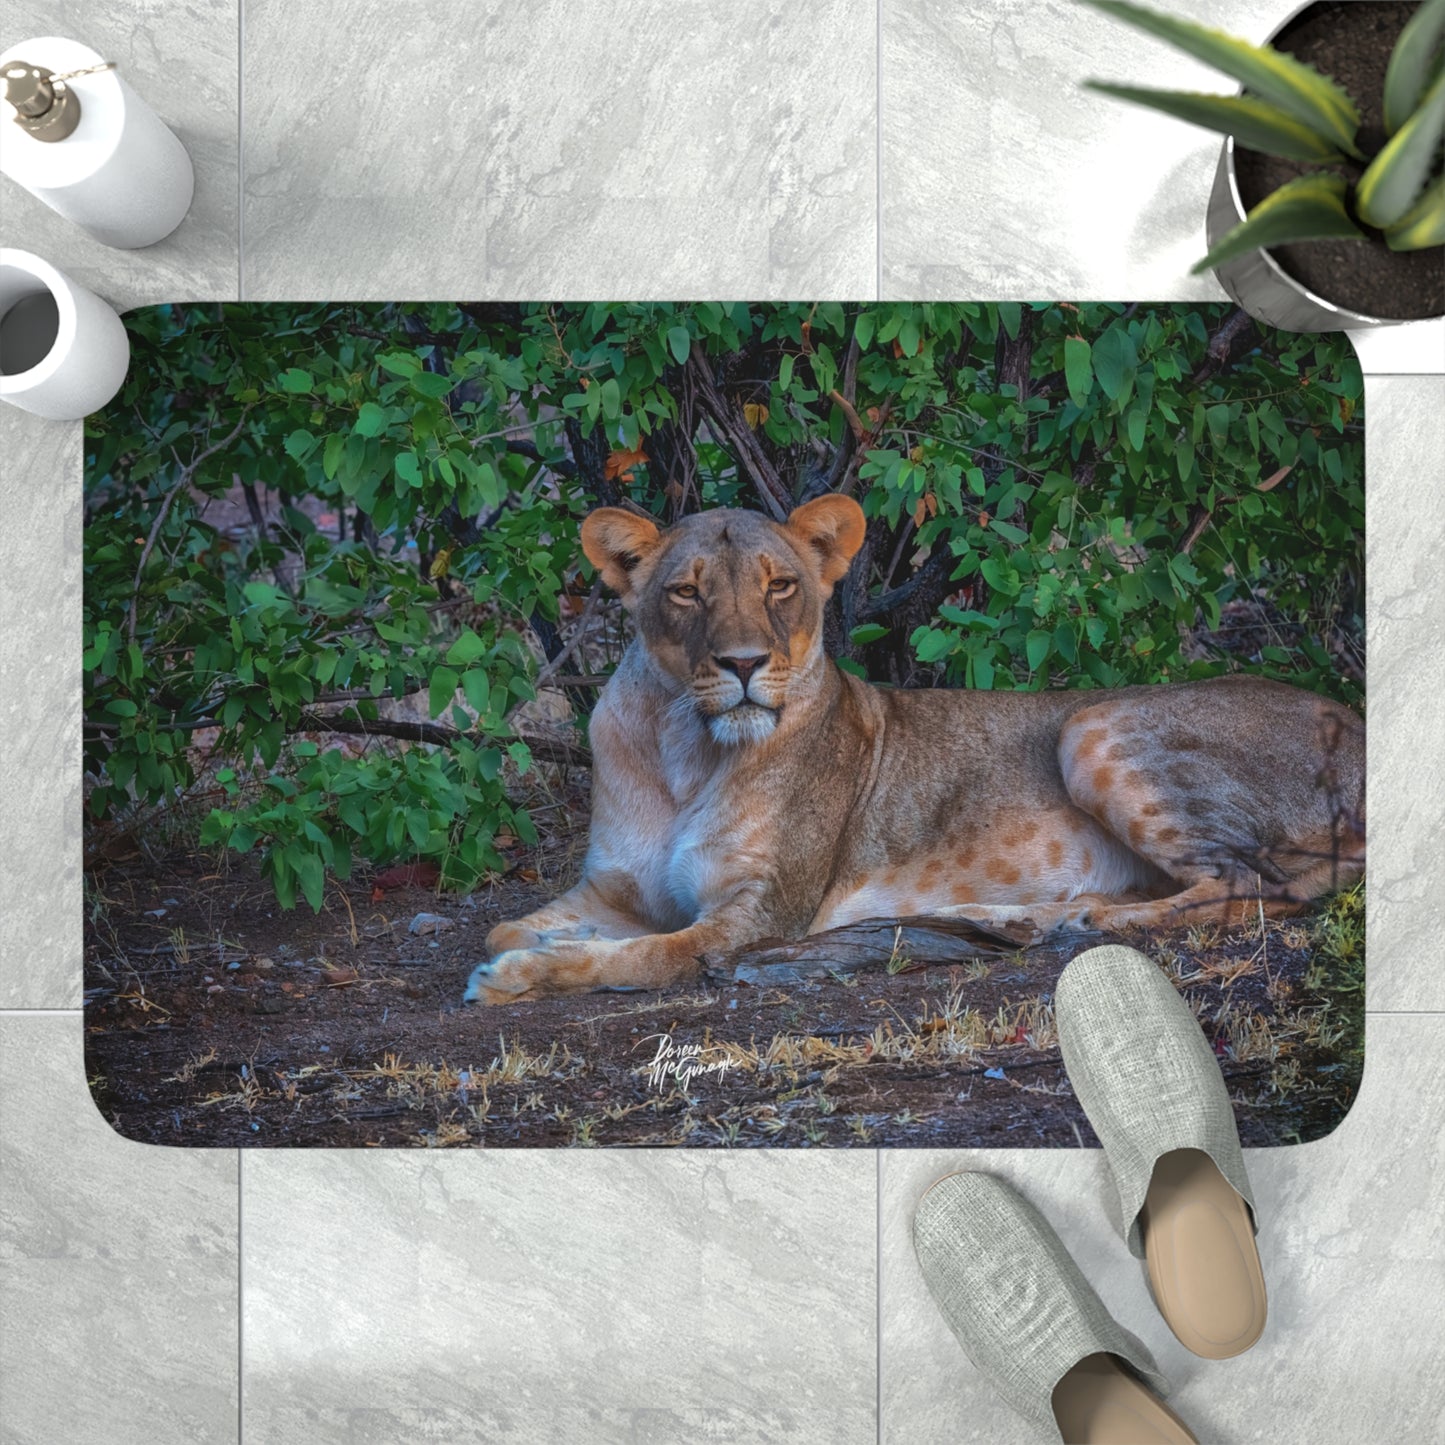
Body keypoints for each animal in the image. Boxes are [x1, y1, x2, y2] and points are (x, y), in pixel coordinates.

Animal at [464, 496, 1364, 1005]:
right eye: (685, 591)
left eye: (779, 585)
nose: (744, 664)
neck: (683, 744)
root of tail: (1352, 722)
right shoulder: (611, 888)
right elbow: (504, 927)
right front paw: (529, 948)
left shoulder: (758, 912)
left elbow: (647, 954)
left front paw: (523, 977)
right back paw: (1016, 915)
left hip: (1090, 723)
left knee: (1256, 885)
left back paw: (1085, 917)